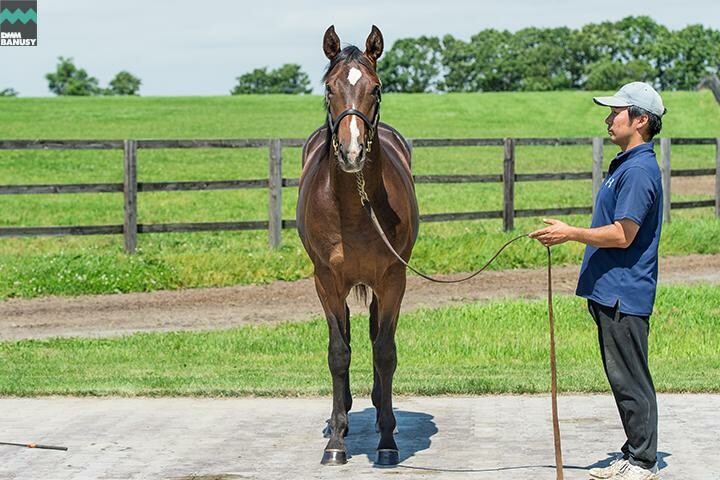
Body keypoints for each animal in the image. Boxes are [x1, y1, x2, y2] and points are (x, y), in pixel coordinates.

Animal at [296, 25, 419, 466]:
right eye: (329, 88)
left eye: (376, 88)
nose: (351, 152)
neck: (353, 207)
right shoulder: (326, 281)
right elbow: (338, 352)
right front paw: (336, 442)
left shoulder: (394, 279)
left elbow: (384, 351)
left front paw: (386, 440)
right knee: (348, 334)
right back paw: (344, 414)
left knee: (375, 336)